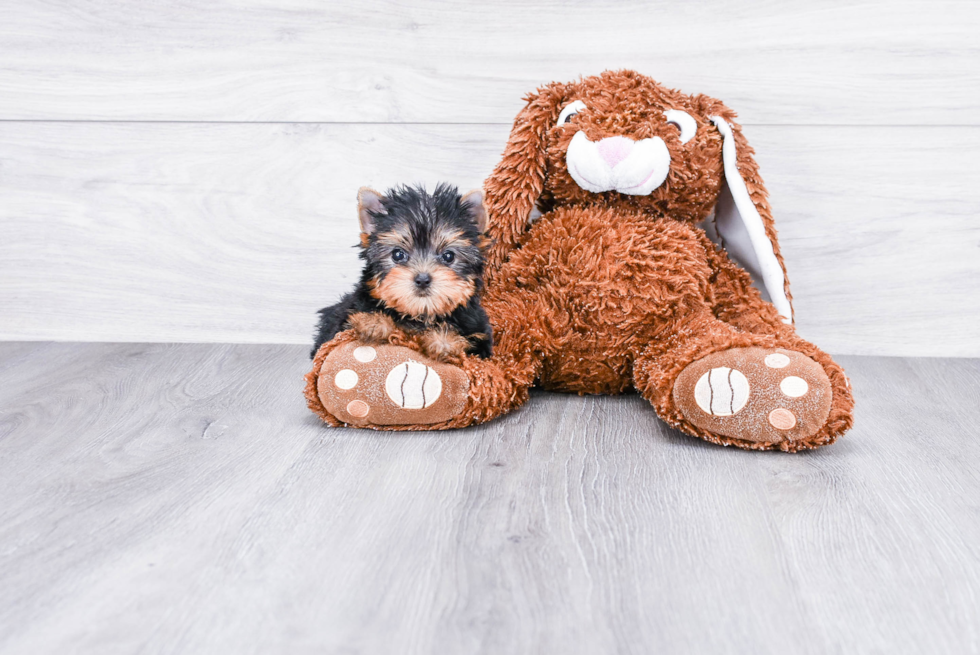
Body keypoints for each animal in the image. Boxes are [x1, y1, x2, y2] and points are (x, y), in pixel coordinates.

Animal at [312, 184, 494, 364]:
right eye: (398, 255)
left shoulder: (480, 336)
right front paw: (374, 322)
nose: (422, 279)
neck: (419, 315)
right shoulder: (340, 321)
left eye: (448, 256)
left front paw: (444, 341)